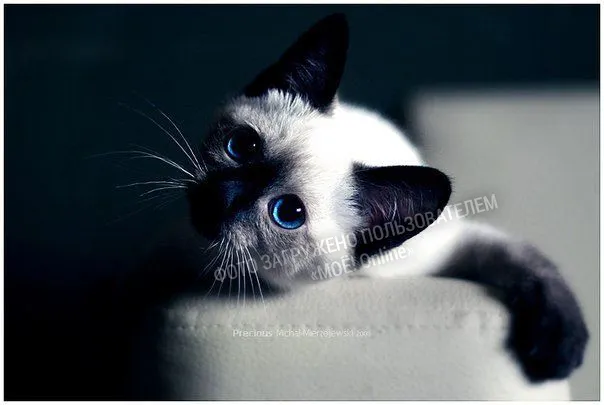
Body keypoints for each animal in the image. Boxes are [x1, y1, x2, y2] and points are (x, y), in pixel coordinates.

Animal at [182, 13, 587, 383]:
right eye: (242, 146)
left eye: (287, 213)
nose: (219, 199)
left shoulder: (450, 246)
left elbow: (525, 260)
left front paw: (560, 349)